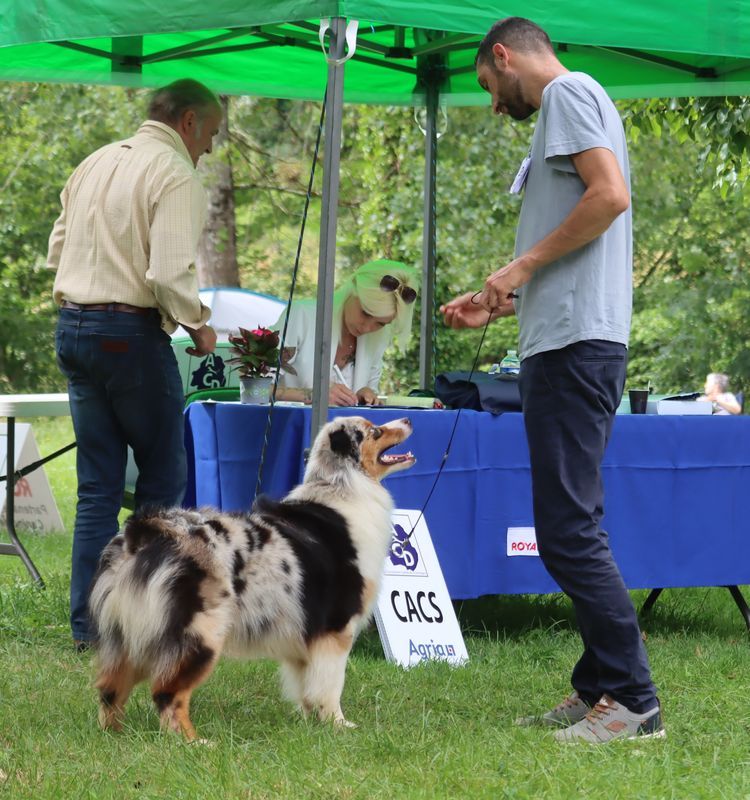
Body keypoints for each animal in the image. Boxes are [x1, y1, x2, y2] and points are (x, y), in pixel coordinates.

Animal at [90, 416, 418, 740]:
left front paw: (312, 722)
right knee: (167, 692)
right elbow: (331, 684)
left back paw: (115, 735)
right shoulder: (336, 629)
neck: (343, 486)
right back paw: (194, 743)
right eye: (375, 431)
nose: (407, 418)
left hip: (127, 634)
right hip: (199, 634)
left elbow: (307, 687)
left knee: (110, 688)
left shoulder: (305, 635)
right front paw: (338, 724)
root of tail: (146, 532)